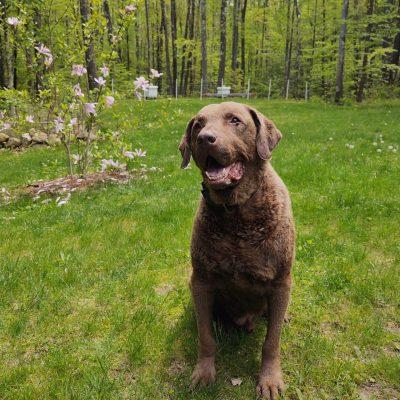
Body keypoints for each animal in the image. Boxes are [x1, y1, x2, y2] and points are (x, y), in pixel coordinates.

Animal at [180, 102, 296, 396]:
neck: (236, 214)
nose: (205, 138)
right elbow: (206, 337)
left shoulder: (281, 281)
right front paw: (204, 372)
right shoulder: (201, 281)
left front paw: (270, 380)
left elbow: (272, 342)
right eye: (198, 125)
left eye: (235, 121)